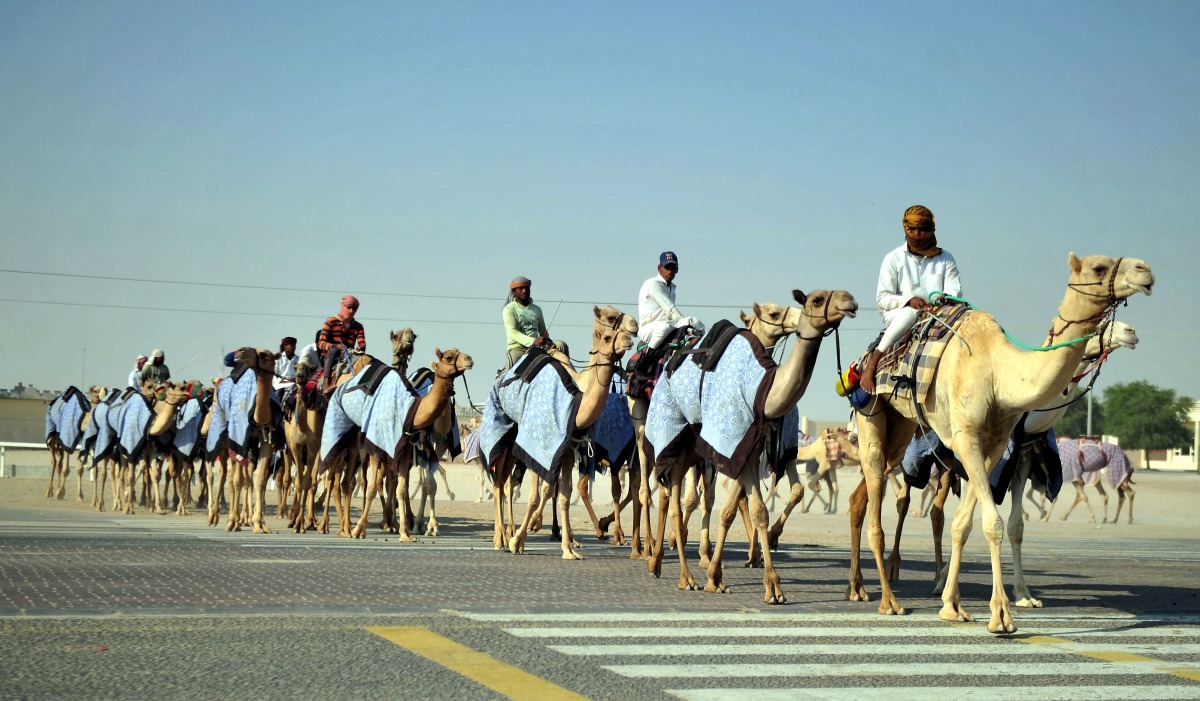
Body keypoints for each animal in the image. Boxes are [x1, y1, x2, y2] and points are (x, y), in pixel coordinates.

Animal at [484, 307, 643, 559]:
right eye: (609, 321)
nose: (632, 330)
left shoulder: (568, 448)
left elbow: (564, 495)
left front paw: (568, 548)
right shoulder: (539, 444)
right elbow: (537, 494)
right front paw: (519, 540)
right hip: (504, 437)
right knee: (501, 483)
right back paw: (502, 538)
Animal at [652, 290, 859, 602]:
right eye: (817, 299)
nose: (849, 300)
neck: (761, 389)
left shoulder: (758, 448)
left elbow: (757, 507)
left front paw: (768, 581)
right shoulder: (734, 443)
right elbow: (735, 508)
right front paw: (717, 576)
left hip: (689, 451)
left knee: (682, 497)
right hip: (673, 435)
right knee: (675, 500)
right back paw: (678, 570)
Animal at [854, 253, 1152, 633]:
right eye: (1098, 268)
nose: (1145, 271)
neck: (1000, 374)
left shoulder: (1000, 449)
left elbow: (983, 524)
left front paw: (958, 604)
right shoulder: (969, 439)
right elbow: (992, 523)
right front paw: (1000, 616)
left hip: (905, 431)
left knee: (875, 500)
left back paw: (870, 587)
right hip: (873, 418)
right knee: (881, 498)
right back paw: (888, 599)